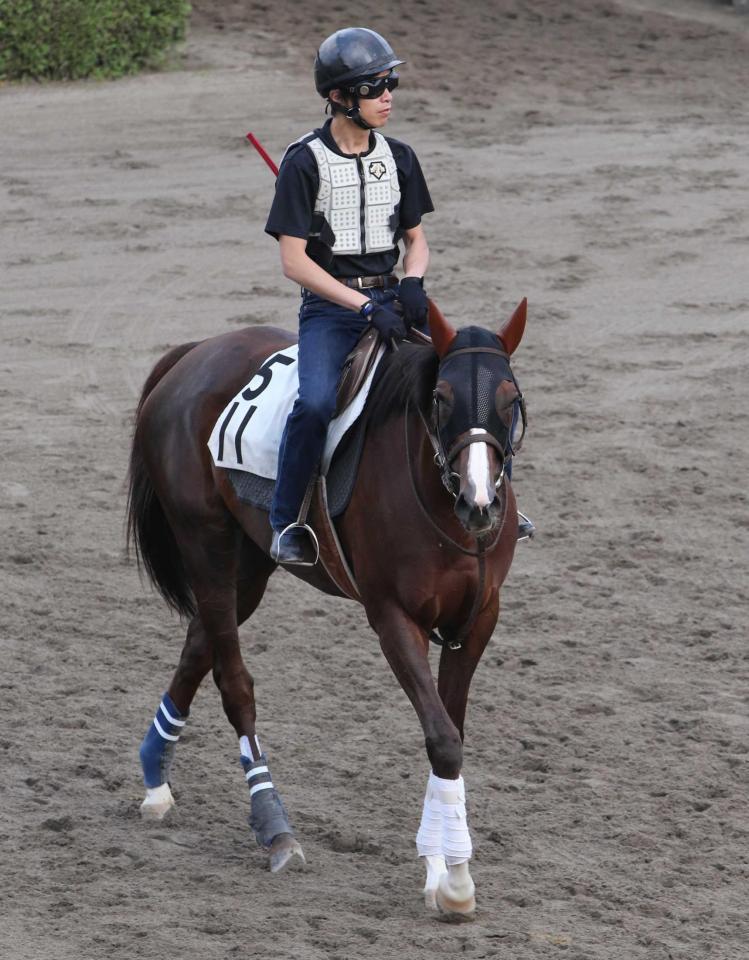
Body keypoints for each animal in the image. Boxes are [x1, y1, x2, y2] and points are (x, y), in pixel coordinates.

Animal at [127, 296, 524, 920]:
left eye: (512, 398)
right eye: (441, 398)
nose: (480, 502)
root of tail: (194, 354)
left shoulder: (479, 617)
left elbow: (450, 730)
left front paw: (442, 869)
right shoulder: (393, 617)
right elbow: (442, 737)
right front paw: (454, 879)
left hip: (249, 565)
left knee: (197, 646)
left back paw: (154, 779)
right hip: (205, 544)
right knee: (233, 681)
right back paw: (276, 829)